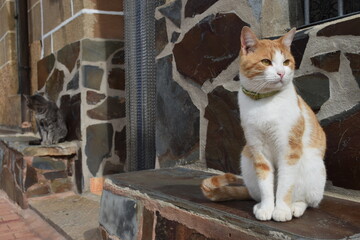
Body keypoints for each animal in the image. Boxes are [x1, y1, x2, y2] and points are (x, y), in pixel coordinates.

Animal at [201, 27, 328, 222]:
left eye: (286, 62)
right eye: (266, 62)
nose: (281, 73)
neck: (265, 102)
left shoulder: (289, 150)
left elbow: (285, 185)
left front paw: (281, 210)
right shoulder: (258, 150)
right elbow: (266, 185)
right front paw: (267, 208)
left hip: (312, 168)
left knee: (308, 200)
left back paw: (295, 207)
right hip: (247, 159)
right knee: (257, 193)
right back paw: (259, 204)